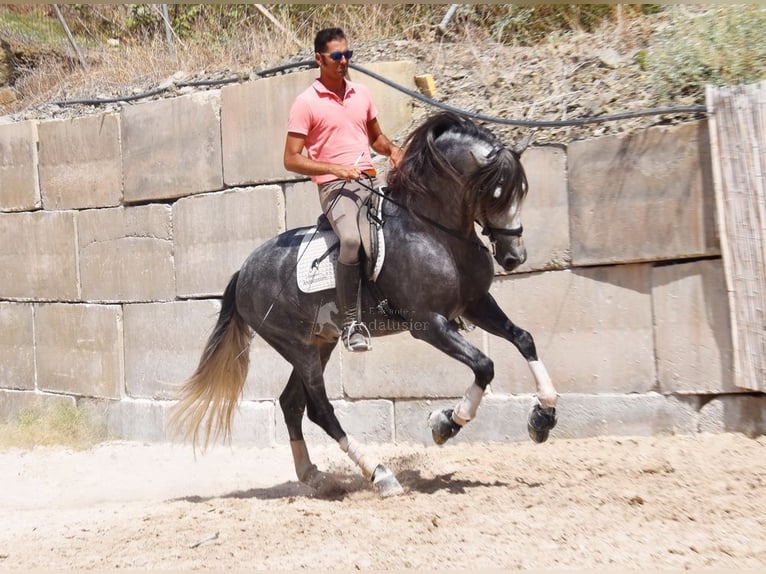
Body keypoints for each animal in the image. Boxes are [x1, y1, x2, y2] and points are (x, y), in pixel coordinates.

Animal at [171, 112, 560, 500]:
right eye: (494, 193)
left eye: (522, 191)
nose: (514, 257)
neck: (434, 231)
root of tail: (244, 271)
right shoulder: (430, 324)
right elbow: (484, 365)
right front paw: (446, 423)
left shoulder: (475, 304)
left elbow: (523, 339)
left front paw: (543, 416)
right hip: (298, 347)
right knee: (320, 410)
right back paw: (380, 474)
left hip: (319, 344)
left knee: (292, 403)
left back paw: (314, 475)